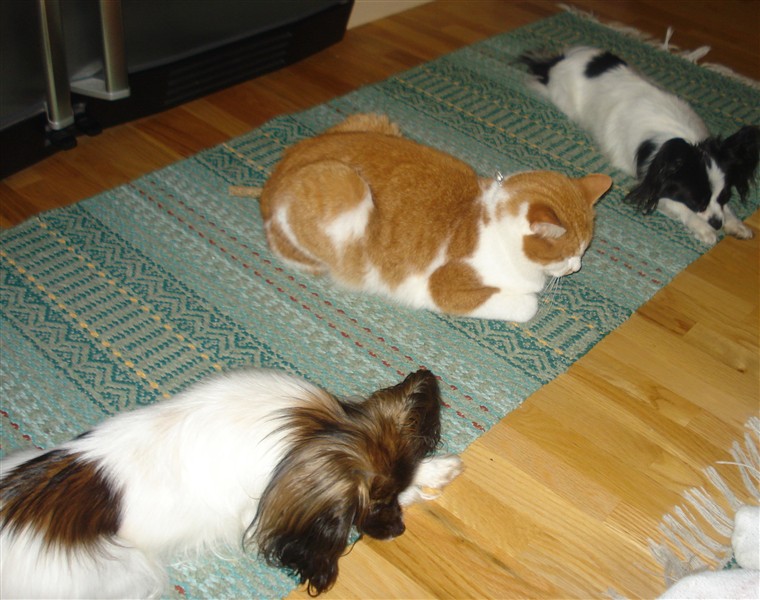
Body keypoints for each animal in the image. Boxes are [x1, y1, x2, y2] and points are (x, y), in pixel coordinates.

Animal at [259, 114, 612, 322]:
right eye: (569, 253)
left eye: (584, 250)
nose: (576, 267)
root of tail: (271, 181)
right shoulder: (443, 286)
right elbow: (528, 305)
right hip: (345, 185)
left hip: (376, 121)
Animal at [520, 45, 760, 244]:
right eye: (696, 201)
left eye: (725, 196)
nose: (717, 223)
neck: (681, 139)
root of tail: (558, 61)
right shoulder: (649, 181)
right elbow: (677, 205)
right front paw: (703, 228)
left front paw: (735, 223)